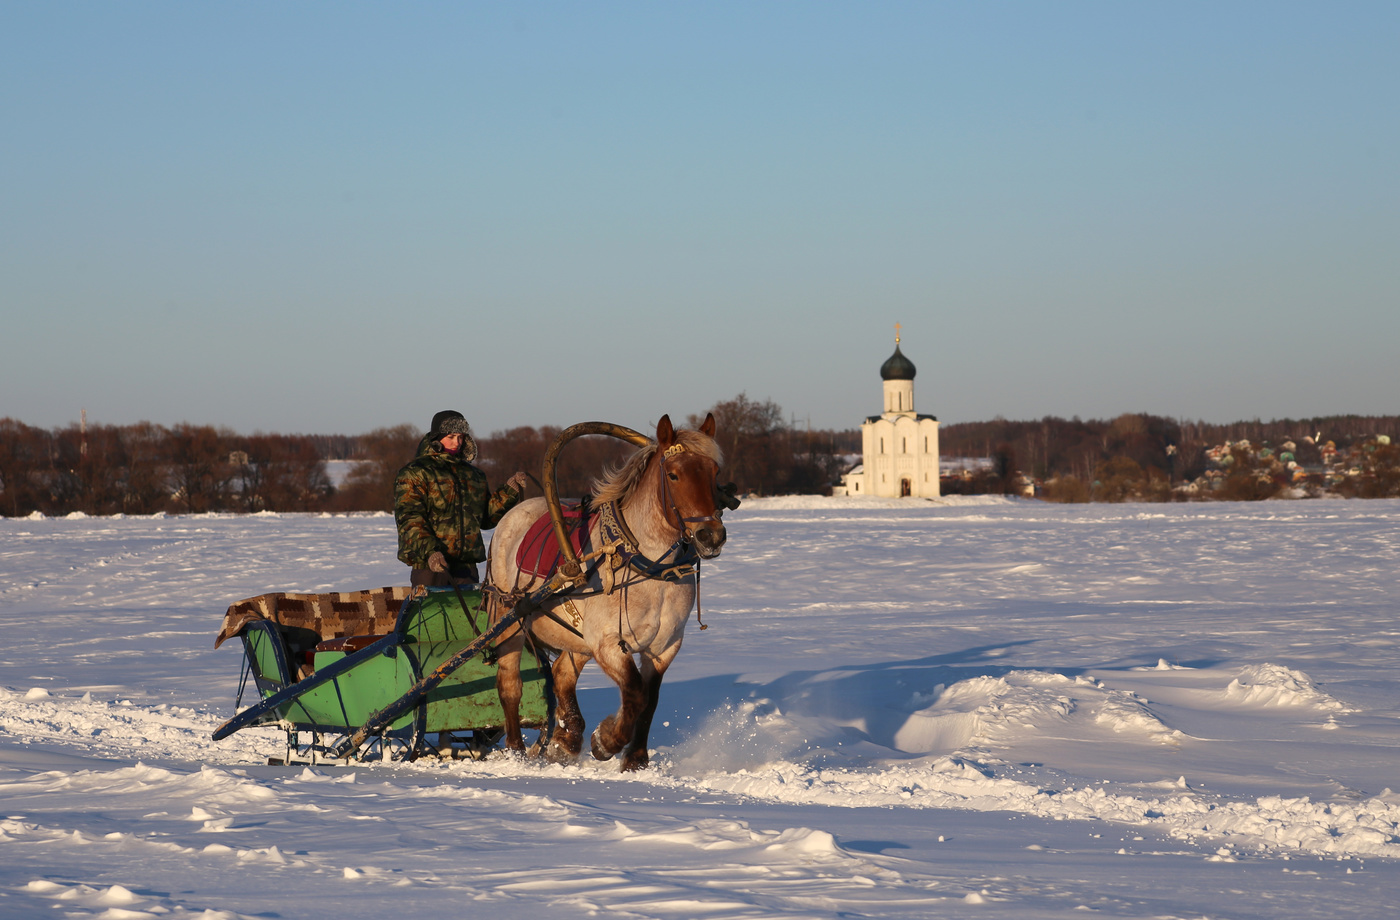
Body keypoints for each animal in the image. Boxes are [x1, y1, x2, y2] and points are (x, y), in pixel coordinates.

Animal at [484, 414, 728, 767]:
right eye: (673, 474)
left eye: (714, 472)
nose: (711, 536)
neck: (648, 569)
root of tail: (514, 513)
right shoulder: (607, 641)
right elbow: (636, 692)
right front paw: (607, 740)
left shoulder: (664, 646)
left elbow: (650, 699)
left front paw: (635, 759)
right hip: (510, 620)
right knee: (509, 684)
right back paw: (517, 751)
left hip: (576, 637)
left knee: (561, 674)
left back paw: (566, 740)